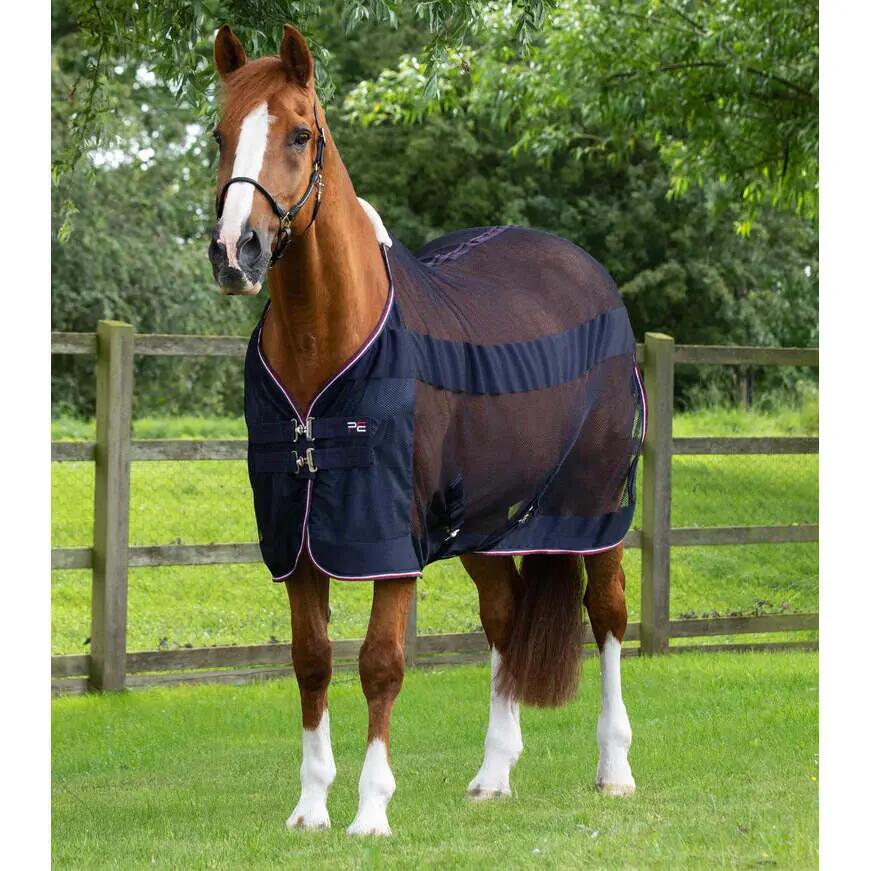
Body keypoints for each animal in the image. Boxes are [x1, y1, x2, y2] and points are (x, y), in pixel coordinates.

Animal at [207, 24, 642, 836]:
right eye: (220, 134)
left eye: (300, 133)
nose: (233, 253)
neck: (328, 345)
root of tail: (587, 272)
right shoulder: (300, 539)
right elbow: (311, 659)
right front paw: (310, 807)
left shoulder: (390, 543)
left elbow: (380, 663)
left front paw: (371, 811)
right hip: (481, 525)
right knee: (504, 616)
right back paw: (493, 774)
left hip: (596, 509)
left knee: (607, 617)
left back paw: (615, 770)